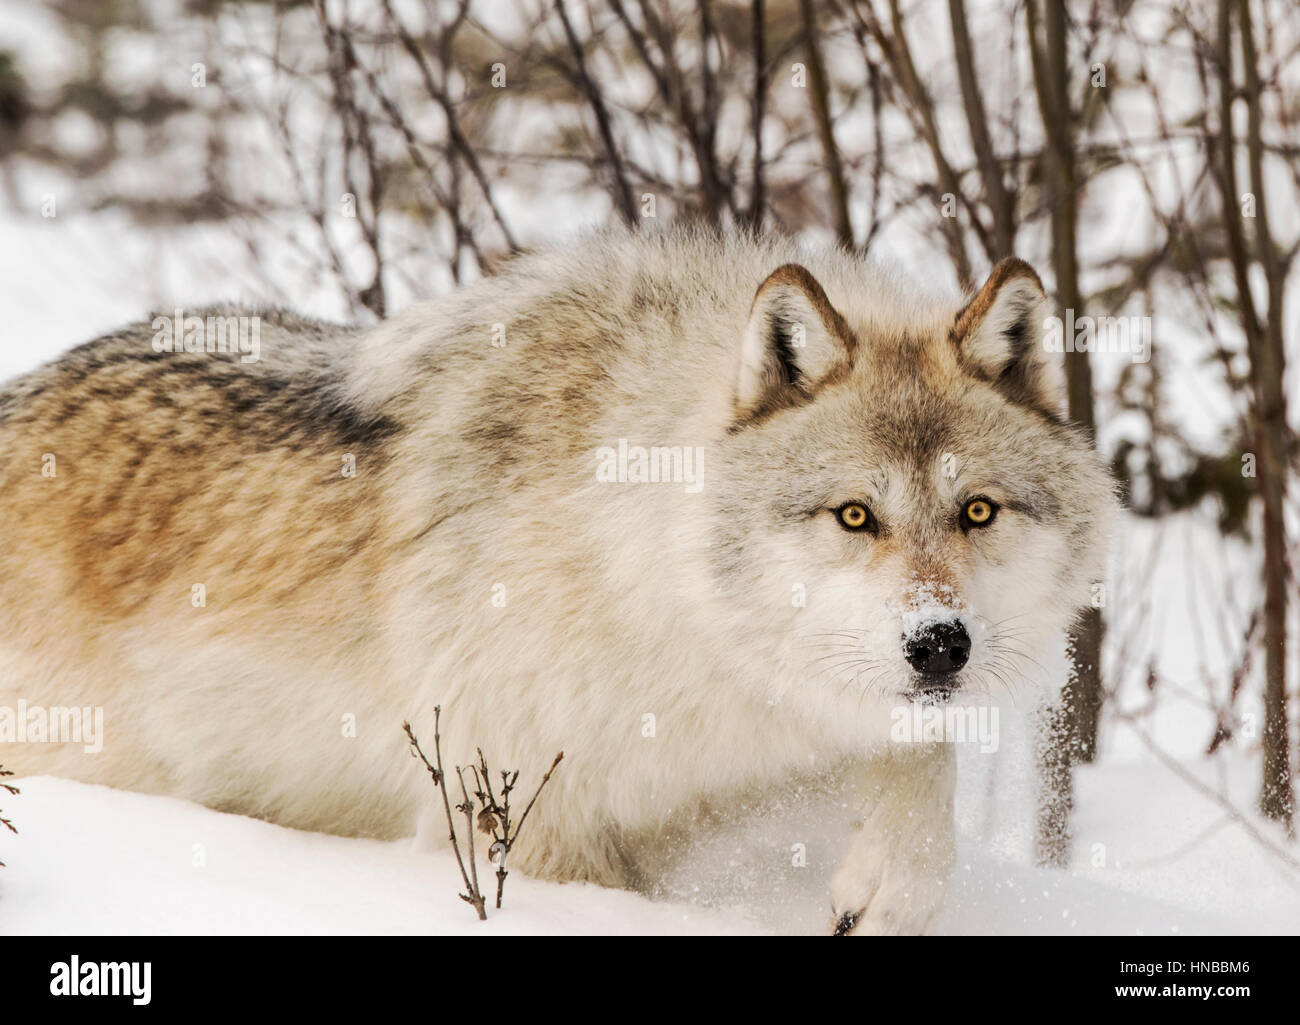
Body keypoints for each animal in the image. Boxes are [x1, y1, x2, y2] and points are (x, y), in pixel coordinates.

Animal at [0, 230, 1115, 933]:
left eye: (977, 511)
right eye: (854, 516)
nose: (940, 644)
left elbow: (920, 760)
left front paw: (888, 891)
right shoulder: (534, 823)